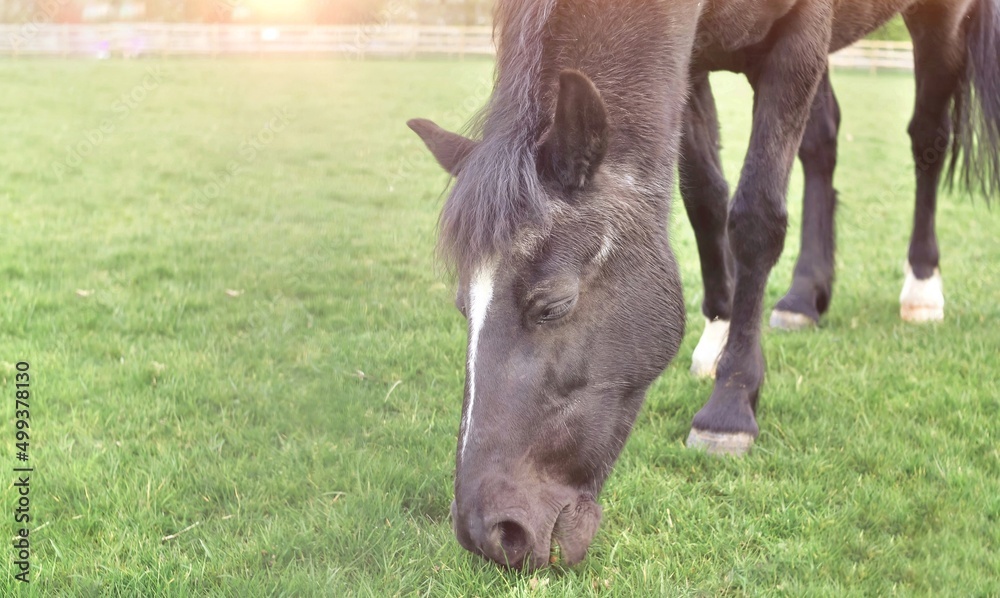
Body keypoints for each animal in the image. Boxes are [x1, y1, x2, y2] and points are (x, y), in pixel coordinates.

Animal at [408, 0, 1000, 570]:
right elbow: (705, 200)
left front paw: (731, 404)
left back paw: (921, 287)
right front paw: (719, 333)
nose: (489, 532)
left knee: (928, 140)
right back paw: (804, 296)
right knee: (822, 143)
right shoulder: (689, 66)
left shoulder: (799, 37)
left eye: (553, 304)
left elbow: (755, 217)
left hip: (939, 20)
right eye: (463, 306)